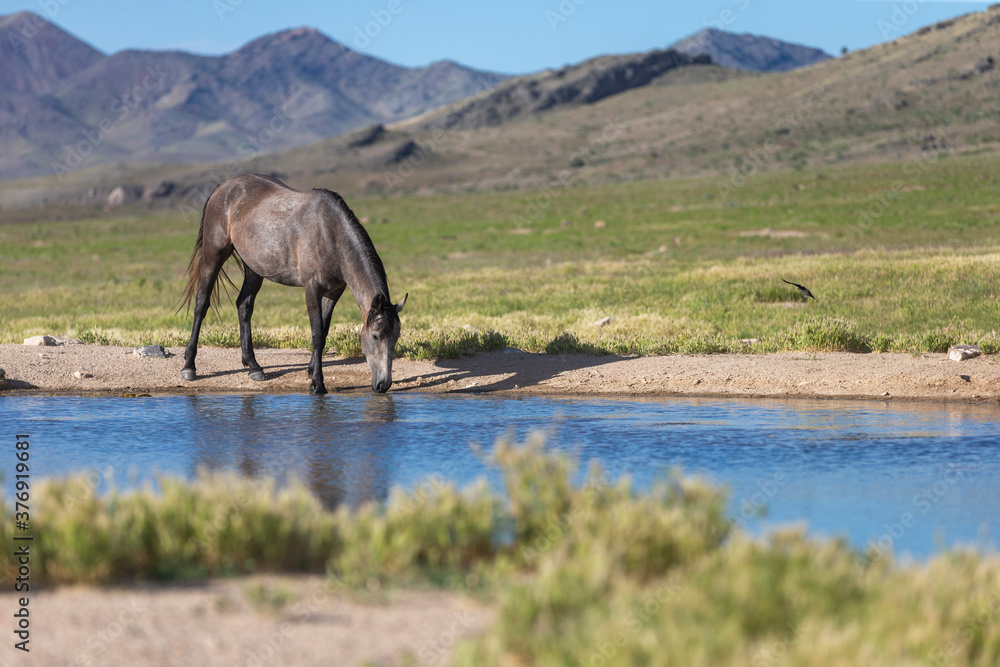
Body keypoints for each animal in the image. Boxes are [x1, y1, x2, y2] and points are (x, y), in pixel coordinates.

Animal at [179, 173, 406, 394]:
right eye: (376, 336)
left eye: (396, 337)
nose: (383, 385)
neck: (330, 233)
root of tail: (223, 187)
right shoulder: (312, 289)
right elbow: (317, 334)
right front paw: (317, 384)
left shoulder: (334, 291)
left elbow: (324, 331)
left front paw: (312, 371)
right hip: (214, 255)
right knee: (201, 303)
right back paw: (189, 366)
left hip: (254, 267)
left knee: (244, 306)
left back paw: (254, 367)